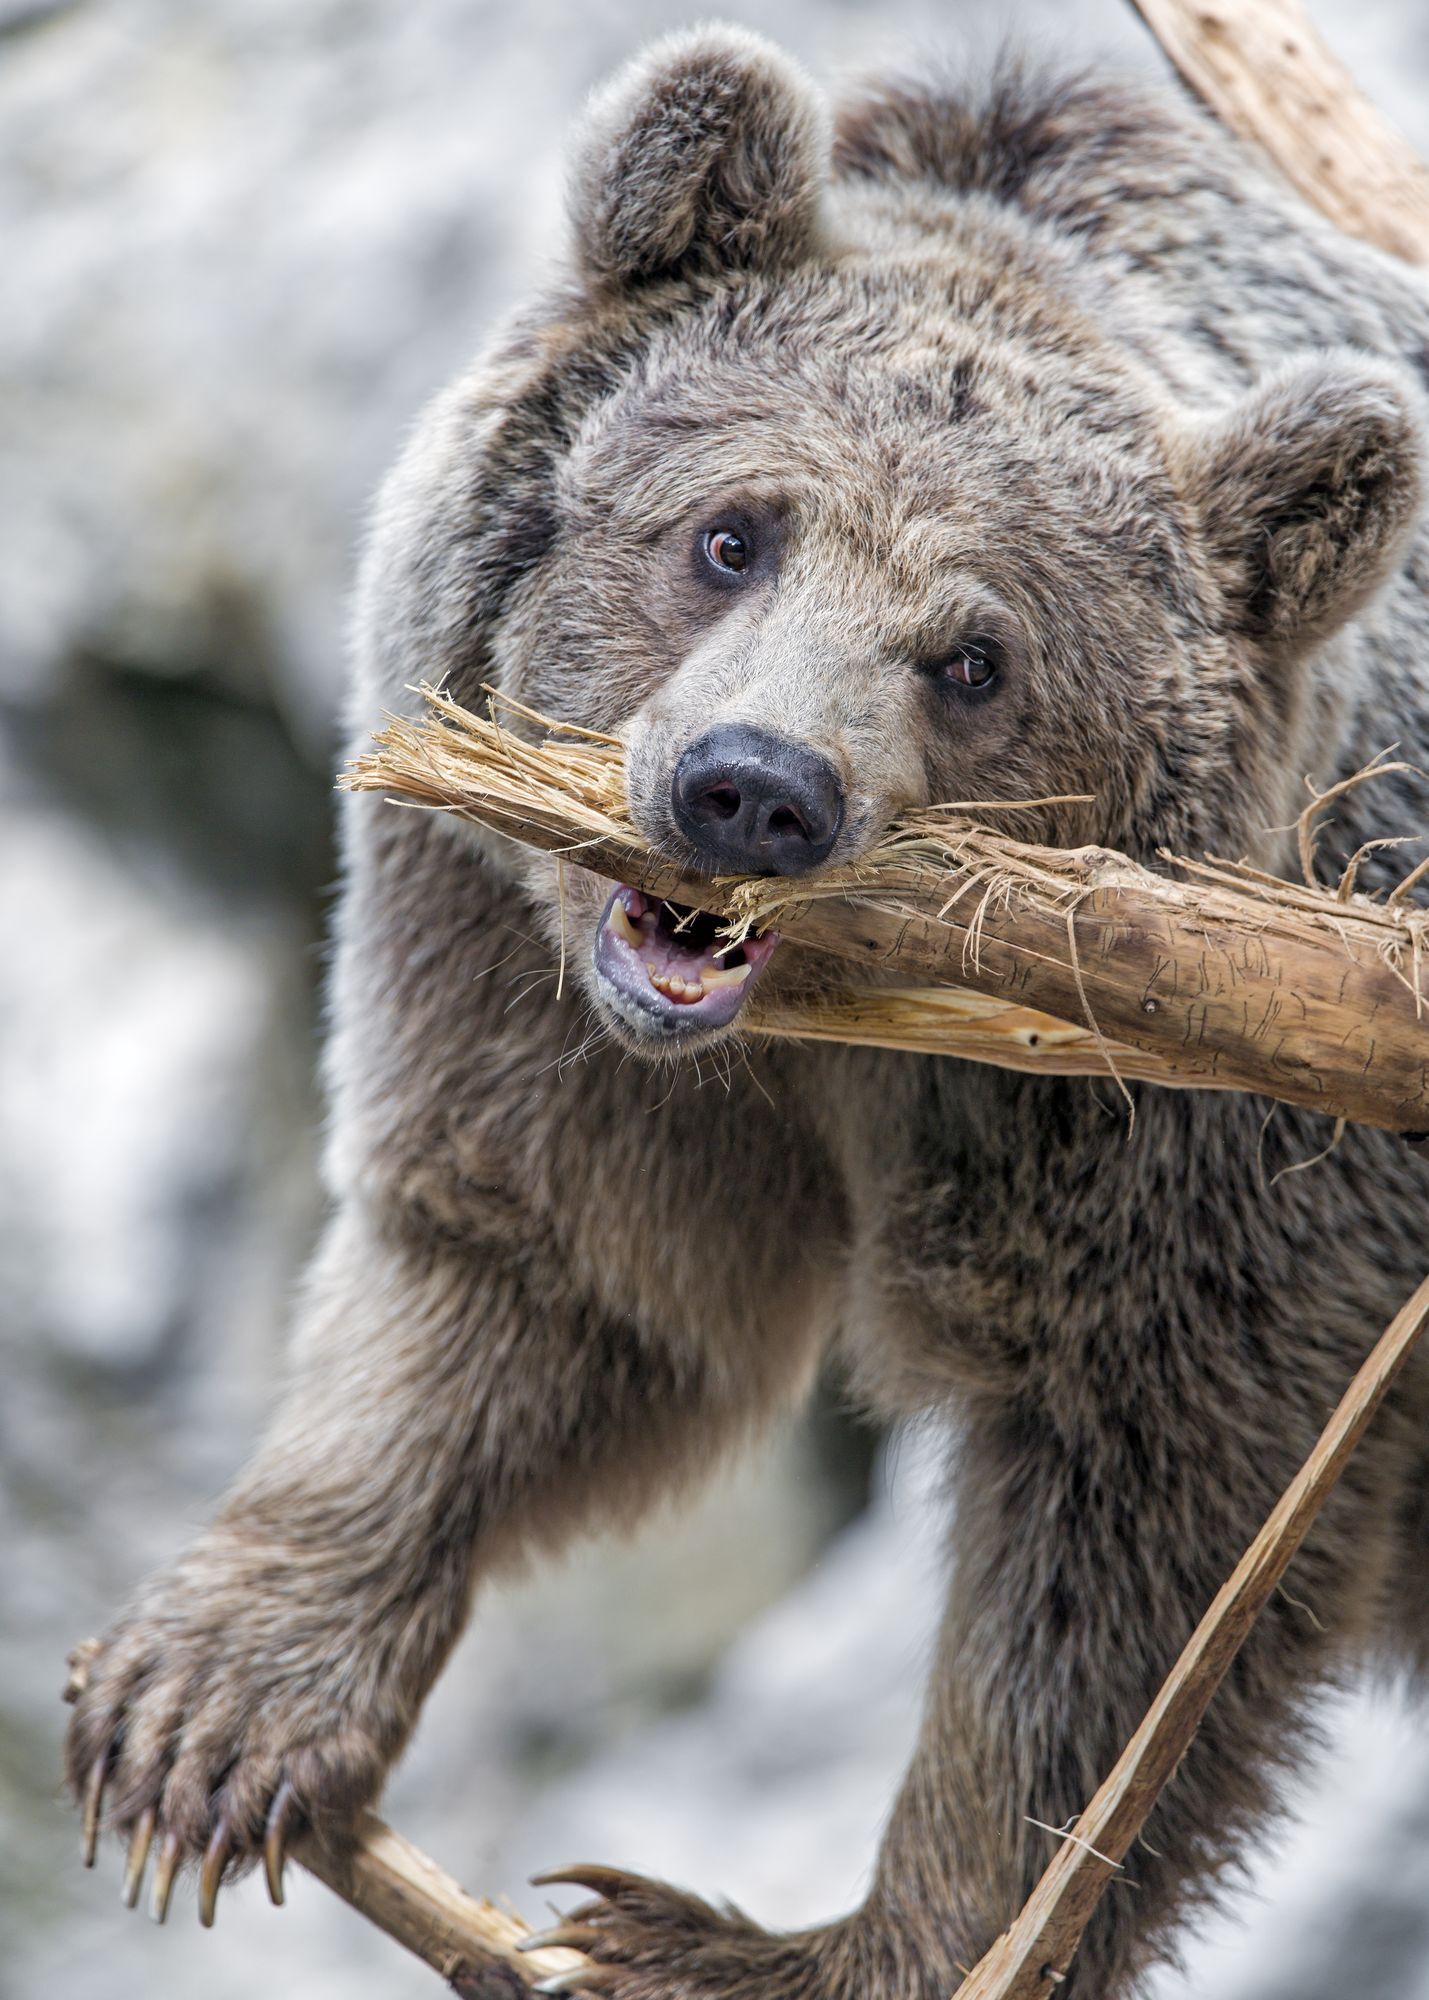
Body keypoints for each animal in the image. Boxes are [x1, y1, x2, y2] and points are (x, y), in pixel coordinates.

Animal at [64, 31, 1424, 2000]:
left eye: (975, 657)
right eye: (731, 533)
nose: (753, 787)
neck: (849, 1055)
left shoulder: (1202, 1138)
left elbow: (1130, 1568)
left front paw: (749, 1936)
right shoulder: (523, 960)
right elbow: (544, 1268)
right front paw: (206, 1706)